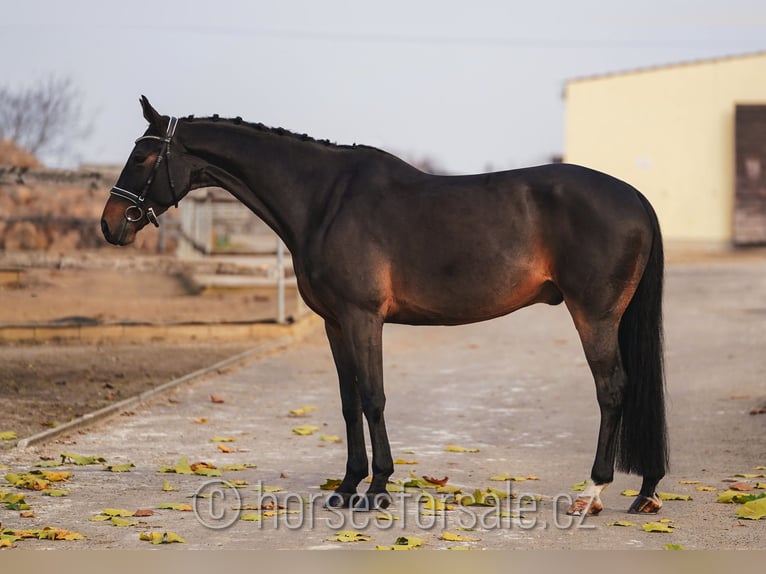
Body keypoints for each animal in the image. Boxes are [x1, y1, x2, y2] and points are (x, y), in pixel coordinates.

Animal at [101, 96, 668, 516]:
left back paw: (592, 493)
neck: (324, 200)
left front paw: (377, 490)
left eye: (144, 157)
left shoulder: (362, 317)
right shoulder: (334, 323)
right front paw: (346, 486)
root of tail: (637, 196)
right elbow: (349, 401)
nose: (110, 225)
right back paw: (645, 491)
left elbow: (373, 397)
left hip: (593, 315)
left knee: (612, 390)